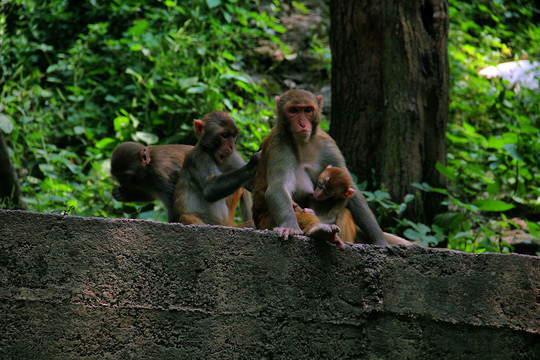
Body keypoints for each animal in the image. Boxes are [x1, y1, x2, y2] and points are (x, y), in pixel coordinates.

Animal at [251, 90, 386, 248]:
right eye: (293, 111)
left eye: (308, 110)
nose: (302, 124)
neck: (303, 144)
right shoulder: (279, 145)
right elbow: (278, 188)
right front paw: (290, 226)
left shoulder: (327, 144)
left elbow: (352, 192)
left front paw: (379, 239)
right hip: (265, 221)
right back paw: (318, 229)